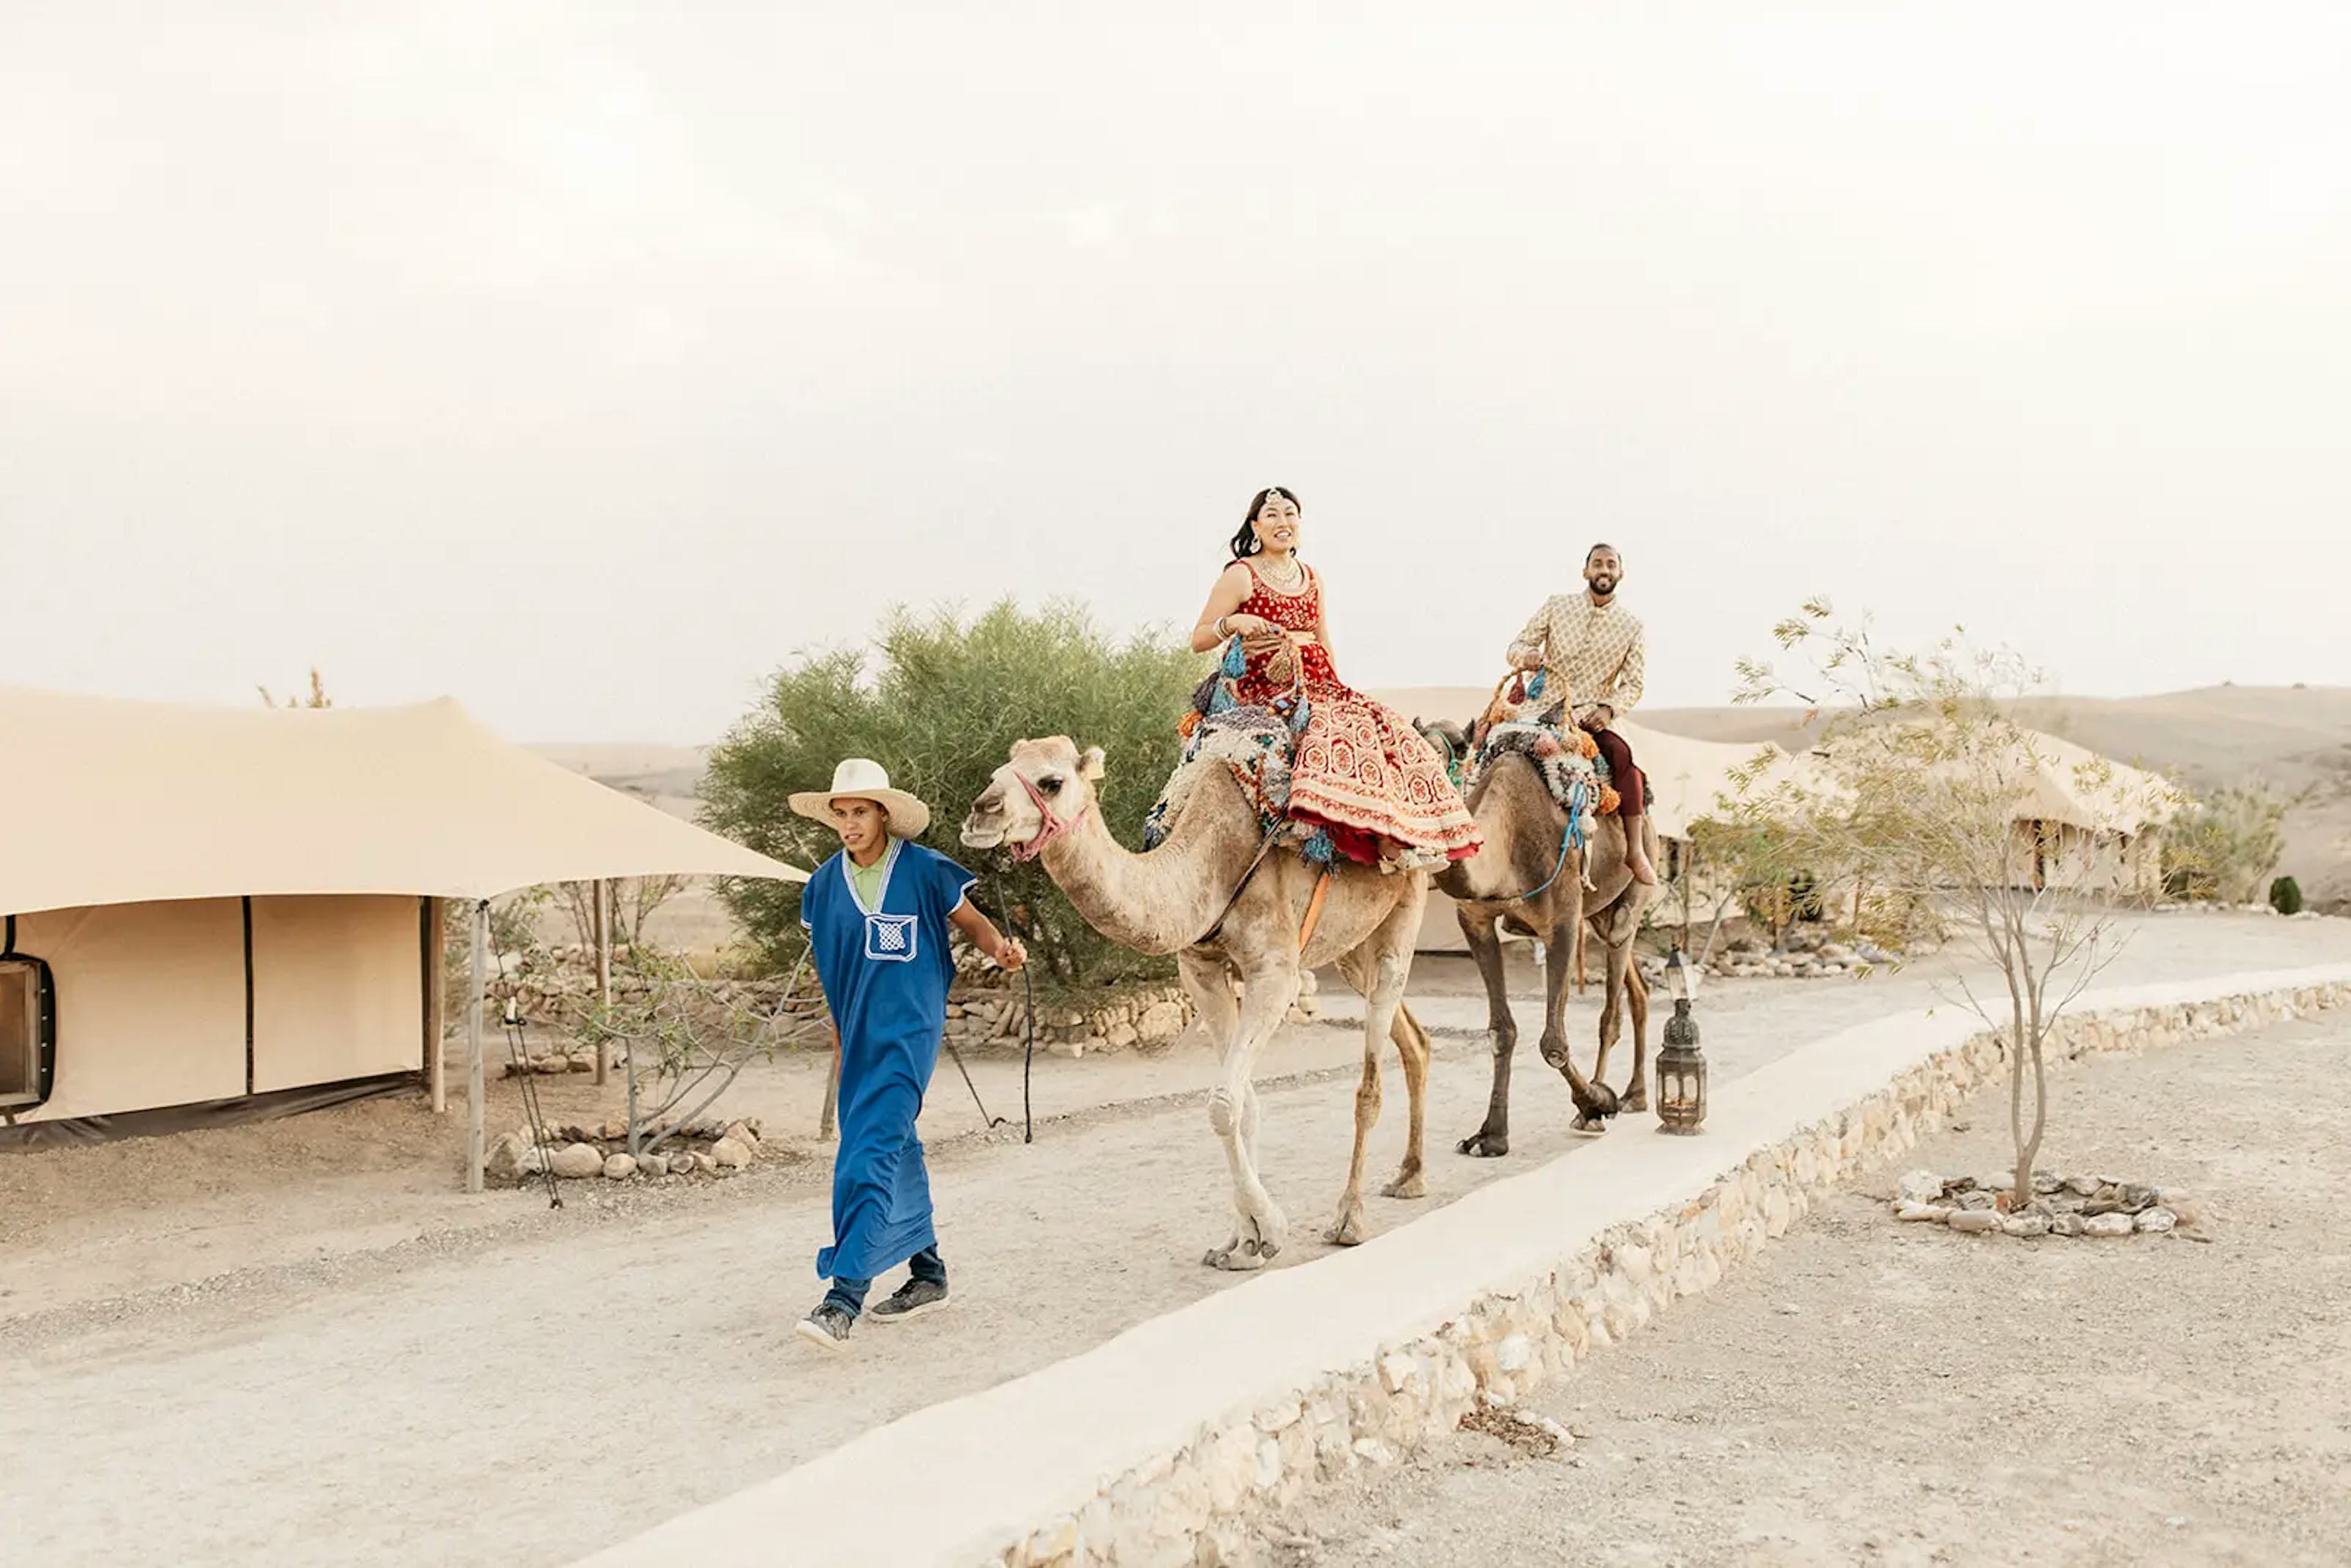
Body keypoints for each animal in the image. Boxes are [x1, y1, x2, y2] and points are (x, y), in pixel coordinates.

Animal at [964, 738, 1439, 1278]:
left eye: (1051, 782)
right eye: (998, 773)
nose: (980, 813)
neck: (1205, 867)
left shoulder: (1275, 970)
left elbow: (1222, 1103)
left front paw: (1271, 1229)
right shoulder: (1201, 969)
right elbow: (1244, 1104)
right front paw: (1242, 1243)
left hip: (1405, 904)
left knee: (1371, 1077)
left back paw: (1350, 1219)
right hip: (1351, 945)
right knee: (1414, 1041)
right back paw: (1409, 1177)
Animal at [1401, 719, 1664, 1152]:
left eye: (1455, 749)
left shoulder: (1564, 921)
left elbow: (1553, 1043)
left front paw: (1595, 1103)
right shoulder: (1475, 921)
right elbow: (1501, 1031)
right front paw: (1490, 1135)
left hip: (1634, 891)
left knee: (1612, 1007)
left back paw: (1606, 1098)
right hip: (1599, 915)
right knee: (1638, 989)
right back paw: (1635, 1094)